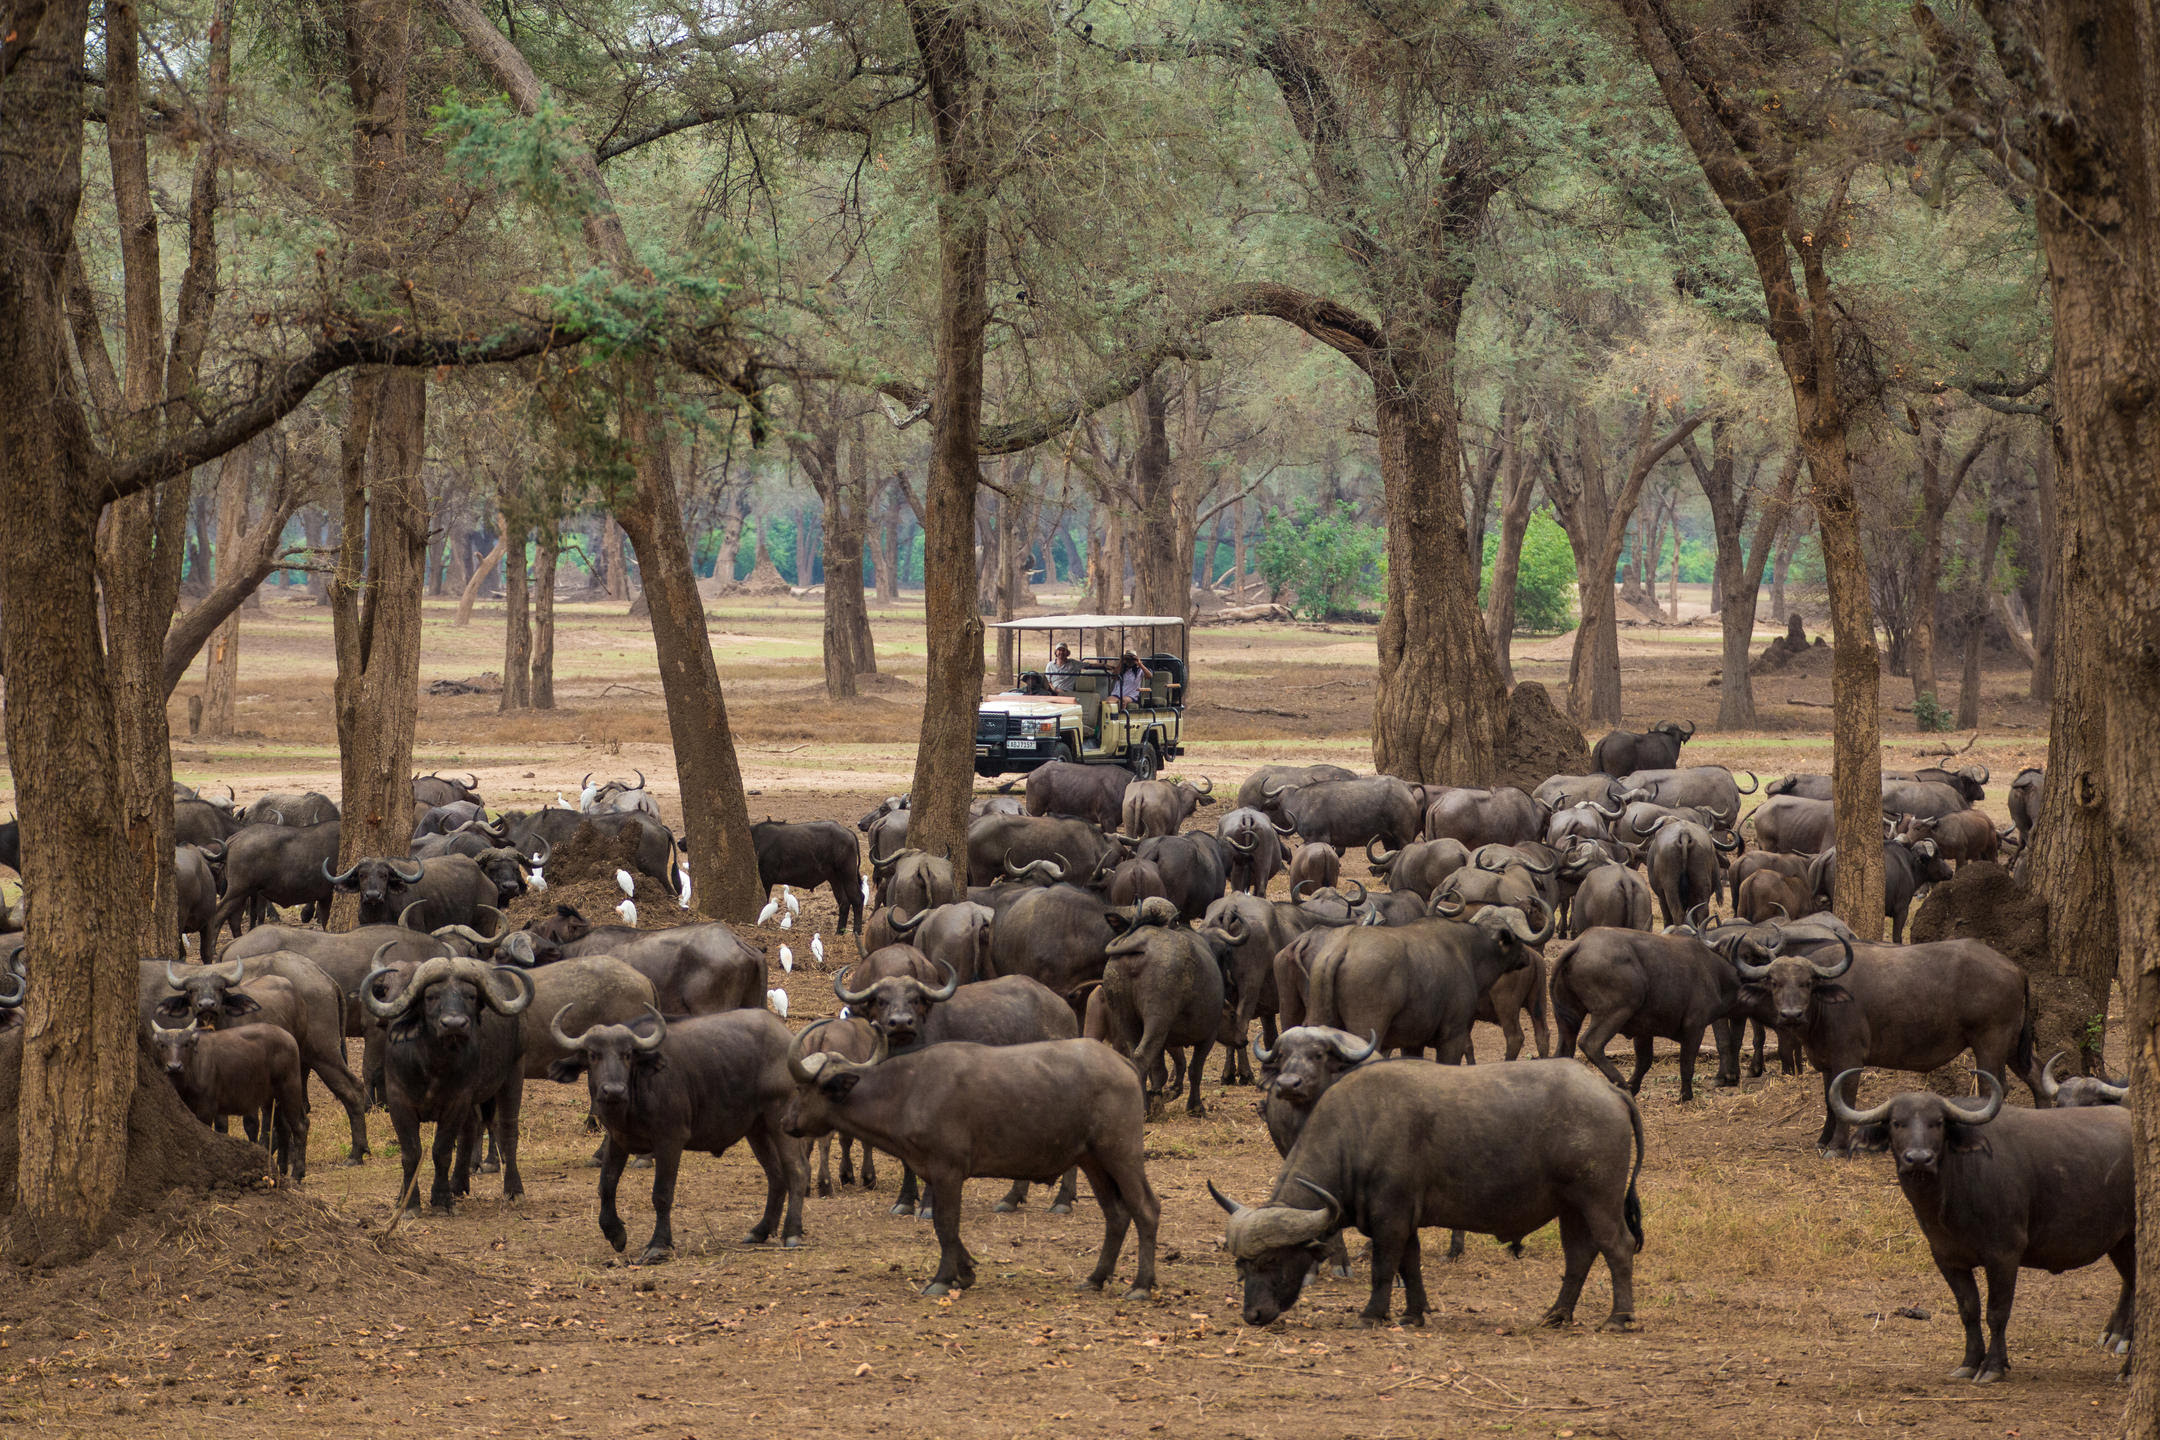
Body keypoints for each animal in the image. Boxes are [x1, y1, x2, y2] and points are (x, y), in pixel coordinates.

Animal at [548, 1010, 803, 1269]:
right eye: (593, 1055)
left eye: (627, 1054)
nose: (613, 1090)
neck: (633, 1097)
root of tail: (786, 1037)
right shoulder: (617, 1139)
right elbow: (606, 1185)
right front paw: (615, 1233)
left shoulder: (669, 1140)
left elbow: (662, 1193)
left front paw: (658, 1245)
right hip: (756, 1130)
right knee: (776, 1176)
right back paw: (760, 1230)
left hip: (781, 1121)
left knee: (797, 1172)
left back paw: (792, 1233)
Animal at [790, 1031, 1166, 1303]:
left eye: (801, 1088)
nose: (786, 1123)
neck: (907, 1091)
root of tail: (1123, 1063)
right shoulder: (934, 1172)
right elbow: (948, 1228)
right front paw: (967, 1270)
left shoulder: (948, 1171)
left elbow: (945, 1224)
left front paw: (942, 1279)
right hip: (1093, 1162)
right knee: (1116, 1214)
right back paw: (1095, 1278)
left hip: (1121, 1154)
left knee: (1146, 1208)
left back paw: (1141, 1285)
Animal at [1831, 1075, 2134, 1381]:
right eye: (1897, 1123)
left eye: (1937, 1122)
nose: (1918, 1158)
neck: (1952, 1190)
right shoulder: (1947, 1258)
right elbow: (1969, 1310)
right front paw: (1969, 1362)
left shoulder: (2004, 1255)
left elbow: (1997, 1312)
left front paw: (1992, 1366)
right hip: (2119, 1245)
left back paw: (2127, 1366)